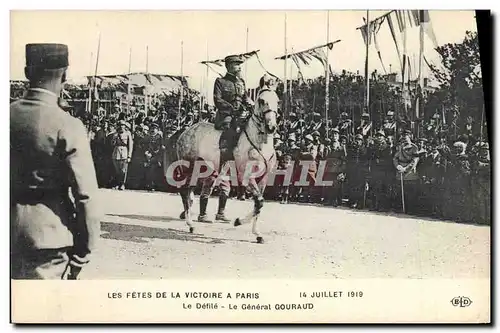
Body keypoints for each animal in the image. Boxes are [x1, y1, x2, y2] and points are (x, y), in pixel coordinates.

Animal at [165, 84, 280, 243]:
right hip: (188, 168)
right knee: (184, 192)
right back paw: (190, 224)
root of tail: (185, 131)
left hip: (201, 170)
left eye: (277, 100)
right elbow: (260, 201)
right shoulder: (245, 175)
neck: (259, 142)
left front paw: (257, 233)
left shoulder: (263, 177)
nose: (271, 127)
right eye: (262, 101)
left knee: (190, 193)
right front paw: (239, 222)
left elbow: (259, 204)